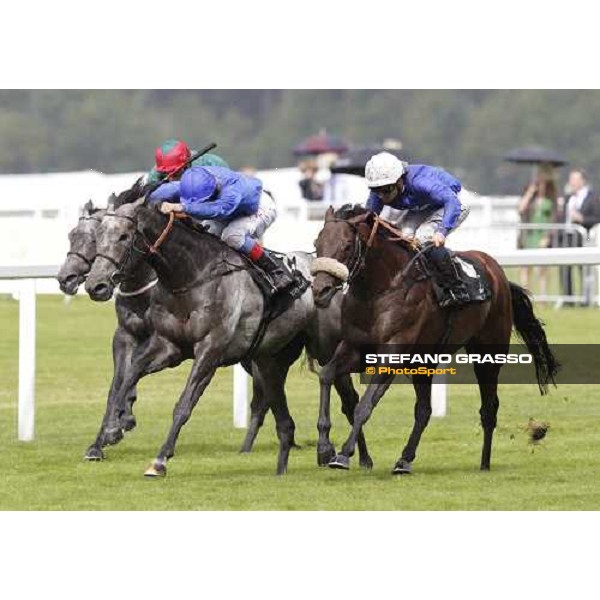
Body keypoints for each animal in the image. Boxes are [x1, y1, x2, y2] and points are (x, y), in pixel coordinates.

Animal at [312, 206, 560, 474]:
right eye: (317, 244)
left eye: (347, 245)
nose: (320, 290)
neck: (381, 289)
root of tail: (498, 273)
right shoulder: (356, 348)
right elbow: (326, 375)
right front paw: (324, 447)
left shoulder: (392, 354)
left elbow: (365, 405)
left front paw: (343, 454)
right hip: (423, 361)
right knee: (424, 410)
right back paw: (405, 460)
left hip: (488, 354)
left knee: (489, 407)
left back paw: (484, 463)